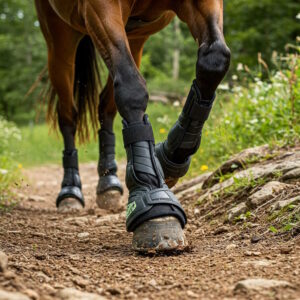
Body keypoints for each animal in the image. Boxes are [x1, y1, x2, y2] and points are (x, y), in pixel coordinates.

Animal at [34, 0, 230, 252]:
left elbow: (214, 60)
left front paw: (167, 158)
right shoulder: (101, 8)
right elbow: (131, 88)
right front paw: (152, 198)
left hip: (134, 37)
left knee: (105, 107)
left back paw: (108, 182)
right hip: (60, 40)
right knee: (68, 115)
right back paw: (70, 190)